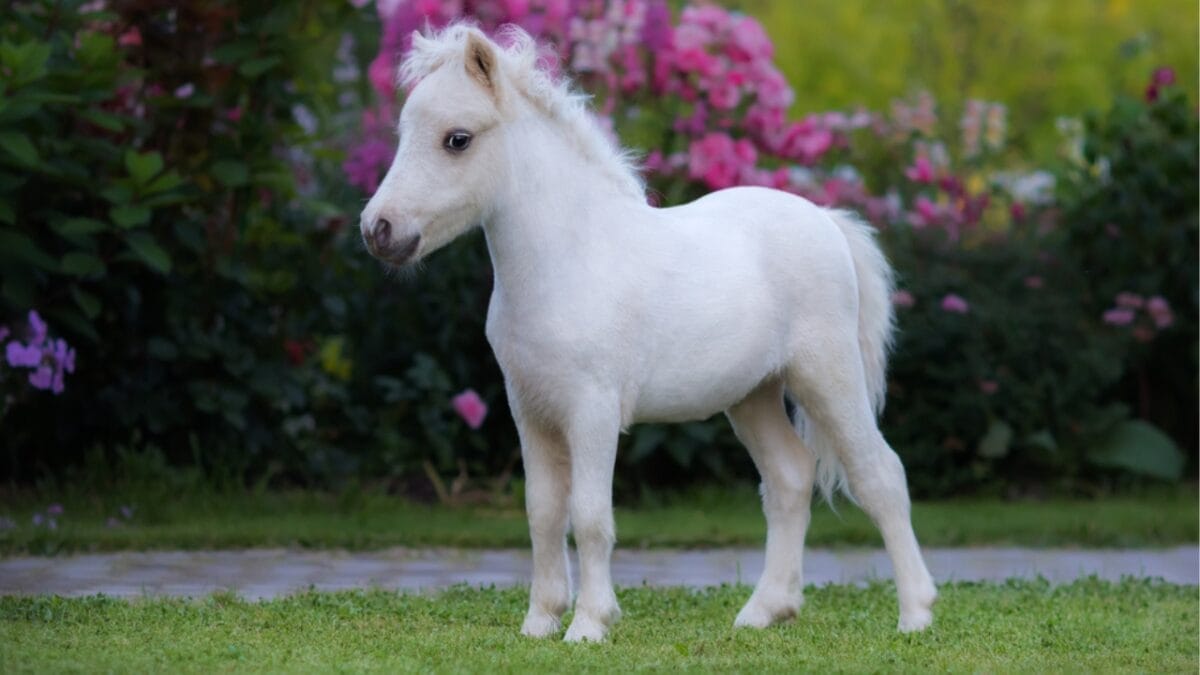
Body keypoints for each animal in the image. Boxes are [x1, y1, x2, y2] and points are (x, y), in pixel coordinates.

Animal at [359, 24, 936, 643]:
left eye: (457, 139)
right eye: (404, 133)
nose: (378, 230)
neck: (569, 261)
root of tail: (826, 220)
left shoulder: (591, 411)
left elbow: (589, 516)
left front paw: (590, 624)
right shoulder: (530, 411)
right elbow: (543, 512)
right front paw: (540, 622)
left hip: (827, 376)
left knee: (879, 475)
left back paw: (916, 613)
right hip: (753, 396)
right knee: (789, 478)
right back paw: (764, 611)